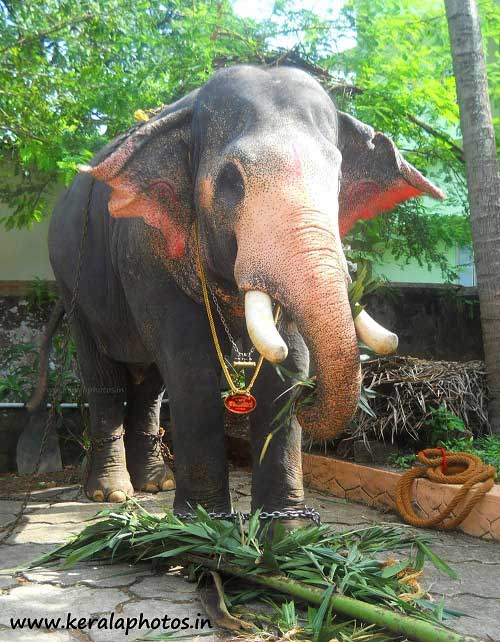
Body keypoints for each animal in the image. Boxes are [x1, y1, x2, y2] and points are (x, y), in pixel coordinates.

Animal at [33, 63, 444, 516]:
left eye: (338, 177)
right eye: (231, 180)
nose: (309, 401)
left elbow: (289, 359)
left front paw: (285, 525)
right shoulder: (144, 249)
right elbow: (189, 364)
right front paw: (203, 524)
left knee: (150, 384)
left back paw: (156, 484)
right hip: (72, 285)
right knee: (105, 378)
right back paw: (111, 493)